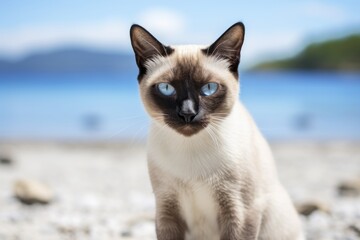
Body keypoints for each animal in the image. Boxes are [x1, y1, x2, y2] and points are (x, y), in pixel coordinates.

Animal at [129, 22, 304, 240]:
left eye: (209, 88)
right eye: (167, 89)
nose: (188, 113)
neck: (191, 153)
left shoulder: (240, 212)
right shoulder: (167, 209)